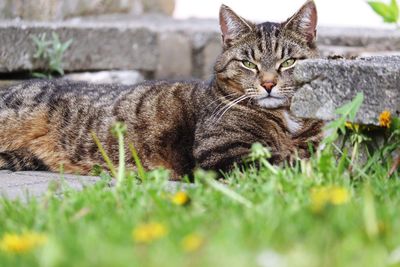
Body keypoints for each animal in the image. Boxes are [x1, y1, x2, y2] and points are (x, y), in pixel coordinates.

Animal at [0, 0, 324, 180]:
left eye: (288, 62)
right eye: (248, 63)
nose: (268, 84)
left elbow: (311, 155)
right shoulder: (224, 152)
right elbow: (289, 162)